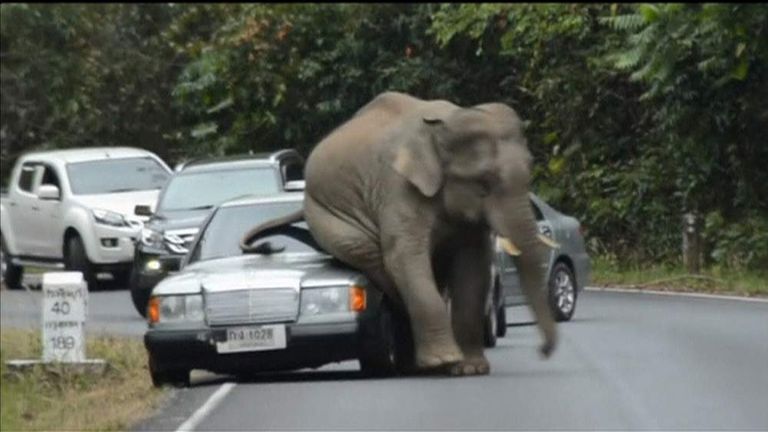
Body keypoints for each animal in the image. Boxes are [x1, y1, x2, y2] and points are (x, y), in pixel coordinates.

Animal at [244, 91, 560, 374]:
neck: (445, 124)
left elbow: (473, 264)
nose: (543, 352)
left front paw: (471, 368)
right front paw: (447, 361)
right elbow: (405, 257)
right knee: (384, 267)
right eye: (483, 182)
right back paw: (423, 364)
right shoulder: (397, 189)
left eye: (530, 169)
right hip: (333, 224)